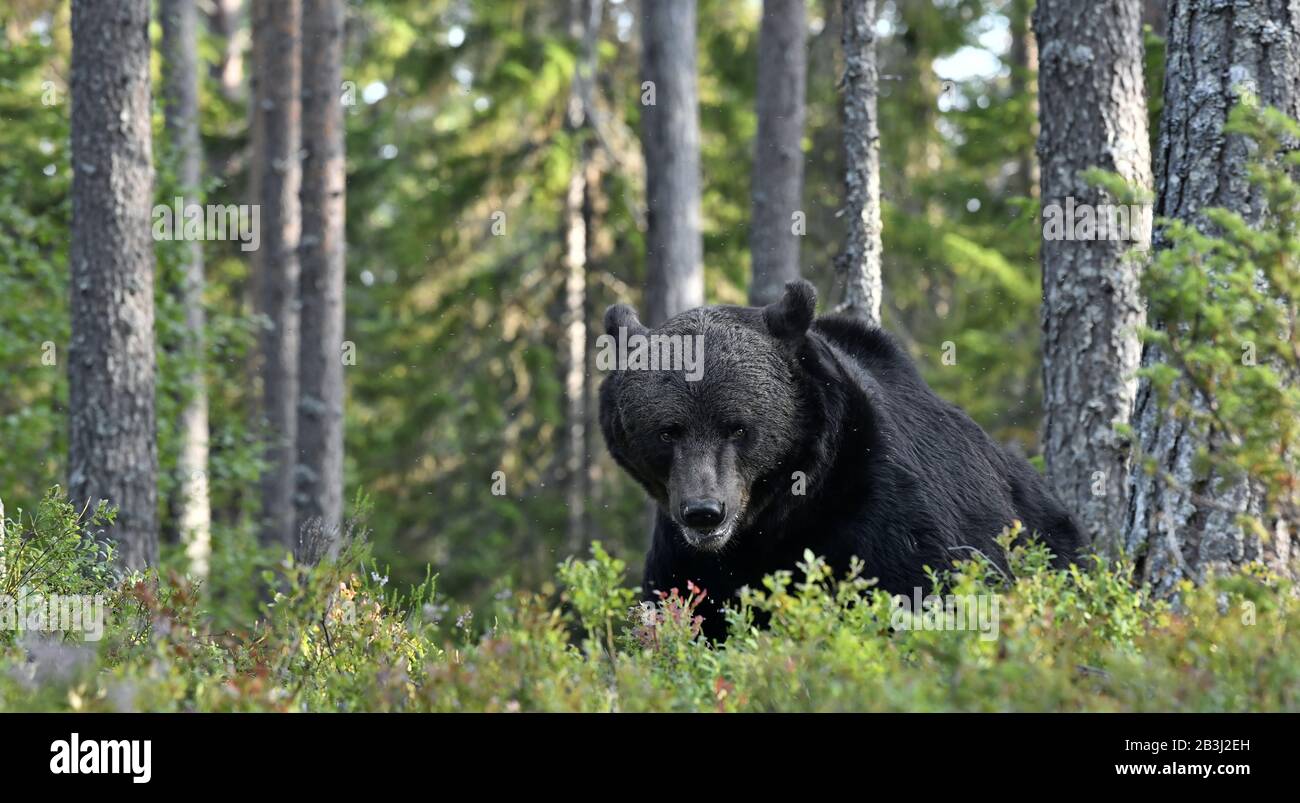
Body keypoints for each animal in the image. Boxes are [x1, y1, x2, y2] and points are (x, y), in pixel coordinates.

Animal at [599, 279, 1084, 641]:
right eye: (668, 431)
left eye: (737, 426)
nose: (704, 512)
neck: (782, 515)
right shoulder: (686, 557)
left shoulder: (884, 510)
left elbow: (925, 592)